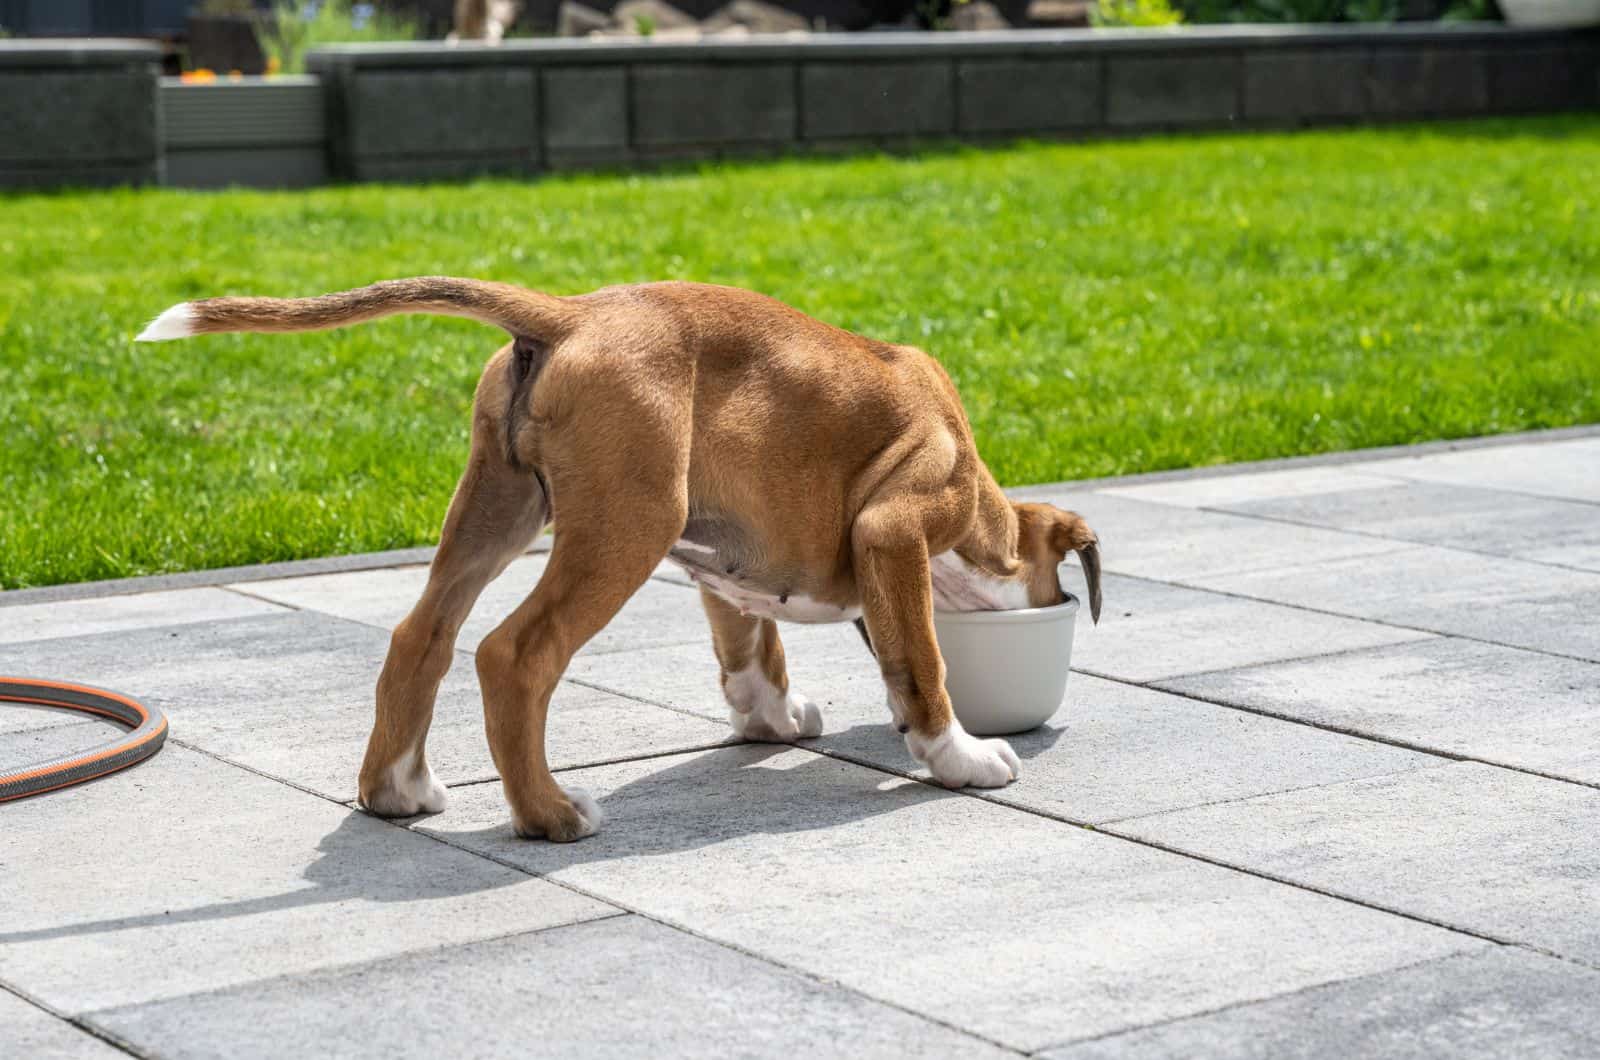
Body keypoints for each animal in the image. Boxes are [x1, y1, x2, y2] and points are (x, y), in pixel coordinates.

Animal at [140, 278, 1100, 845]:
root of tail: (570, 311)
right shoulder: (896, 529)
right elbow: (921, 661)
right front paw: (960, 756)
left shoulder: (734, 558)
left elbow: (751, 648)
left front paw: (773, 719)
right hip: (624, 525)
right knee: (514, 655)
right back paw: (550, 815)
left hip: (495, 507)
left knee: (422, 636)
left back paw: (397, 790)